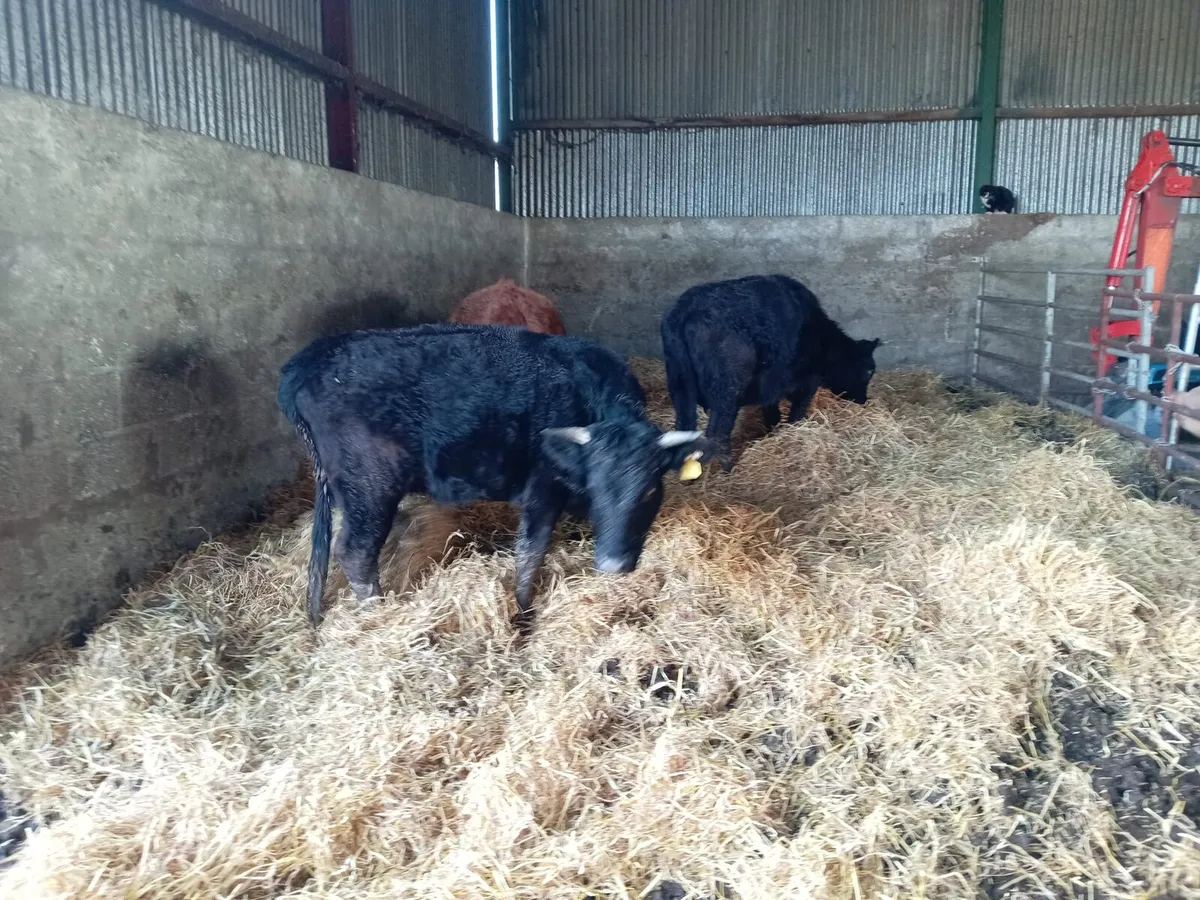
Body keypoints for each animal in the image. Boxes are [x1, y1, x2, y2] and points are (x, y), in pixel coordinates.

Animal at [278, 323, 705, 628]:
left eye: (649, 490)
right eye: (597, 488)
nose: (614, 566)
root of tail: (310, 358)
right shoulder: (541, 489)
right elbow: (530, 554)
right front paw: (523, 616)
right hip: (370, 486)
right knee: (356, 552)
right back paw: (378, 610)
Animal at [660, 274, 880, 471]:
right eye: (869, 369)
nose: (864, 400)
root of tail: (688, 308)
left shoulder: (769, 387)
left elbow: (771, 413)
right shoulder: (805, 382)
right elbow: (795, 413)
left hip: (680, 385)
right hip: (726, 392)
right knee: (717, 434)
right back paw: (728, 468)